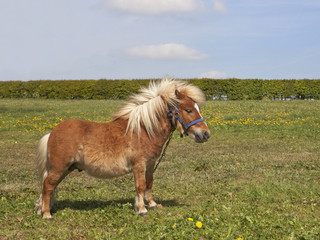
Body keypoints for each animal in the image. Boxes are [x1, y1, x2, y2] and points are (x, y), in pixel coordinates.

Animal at [34, 78, 210, 218]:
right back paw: (46, 214)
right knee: (48, 186)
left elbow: (149, 183)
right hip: (59, 168)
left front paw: (151, 204)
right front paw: (142, 210)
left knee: (49, 187)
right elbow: (140, 186)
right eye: (189, 110)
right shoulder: (139, 165)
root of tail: (52, 132)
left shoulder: (150, 164)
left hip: (66, 168)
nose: (206, 134)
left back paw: (43, 209)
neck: (144, 130)